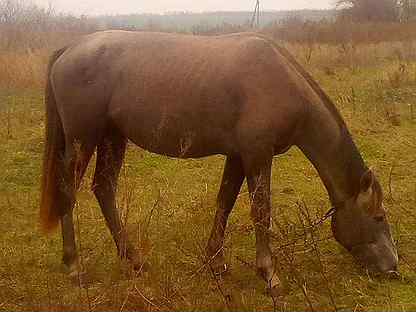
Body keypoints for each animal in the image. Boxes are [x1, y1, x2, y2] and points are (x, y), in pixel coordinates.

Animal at [39, 31, 400, 294]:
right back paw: (74, 266)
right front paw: (270, 275)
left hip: (112, 137)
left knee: (104, 189)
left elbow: (224, 202)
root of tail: (71, 48)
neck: (281, 80)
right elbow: (260, 209)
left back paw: (135, 260)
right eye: (379, 217)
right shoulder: (257, 154)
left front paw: (216, 262)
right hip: (84, 139)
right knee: (68, 192)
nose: (393, 269)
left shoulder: (238, 156)